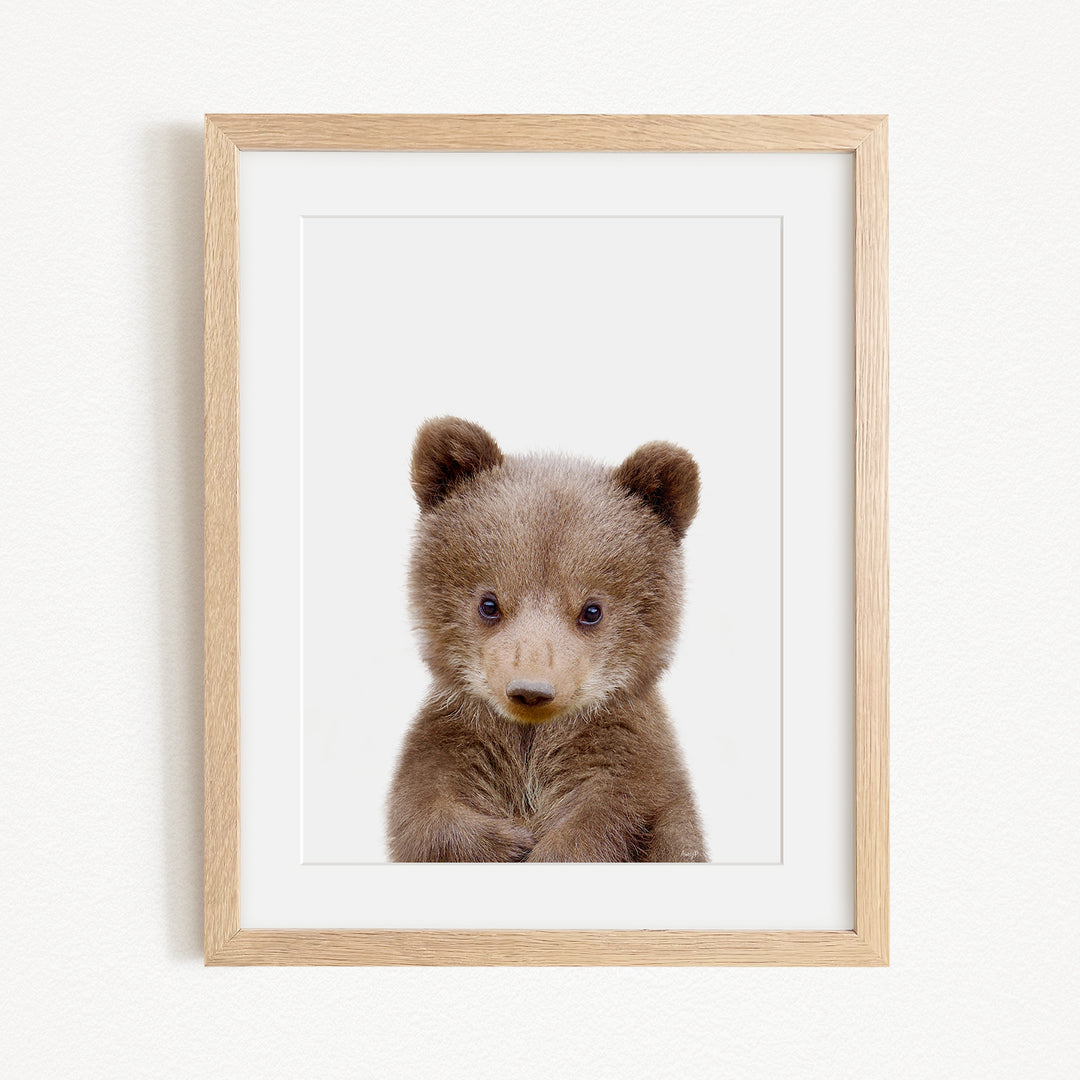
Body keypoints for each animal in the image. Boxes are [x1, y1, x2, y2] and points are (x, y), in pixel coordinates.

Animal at [386, 416, 708, 863]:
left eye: (592, 610)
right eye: (489, 603)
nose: (531, 690)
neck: (531, 741)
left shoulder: (628, 761)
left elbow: (612, 815)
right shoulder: (454, 741)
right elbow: (424, 811)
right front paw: (509, 842)